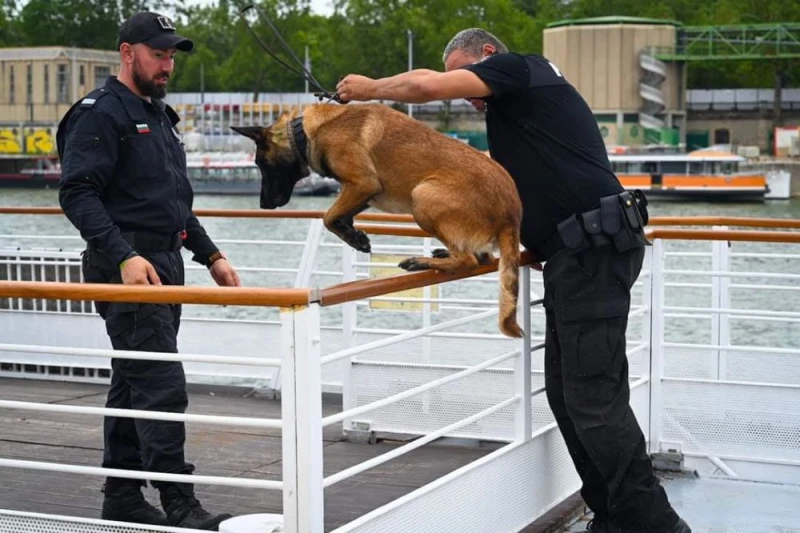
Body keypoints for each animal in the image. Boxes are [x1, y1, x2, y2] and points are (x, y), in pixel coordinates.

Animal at [231, 103, 524, 336]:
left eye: (260, 164)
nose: (263, 204)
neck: (304, 131)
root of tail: (511, 214)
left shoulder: (363, 183)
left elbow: (328, 217)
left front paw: (354, 238)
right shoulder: (362, 192)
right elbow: (339, 216)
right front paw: (353, 234)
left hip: (422, 195)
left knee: (468, 260)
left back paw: (423, 261)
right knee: (480, 257)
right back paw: (442, 255)